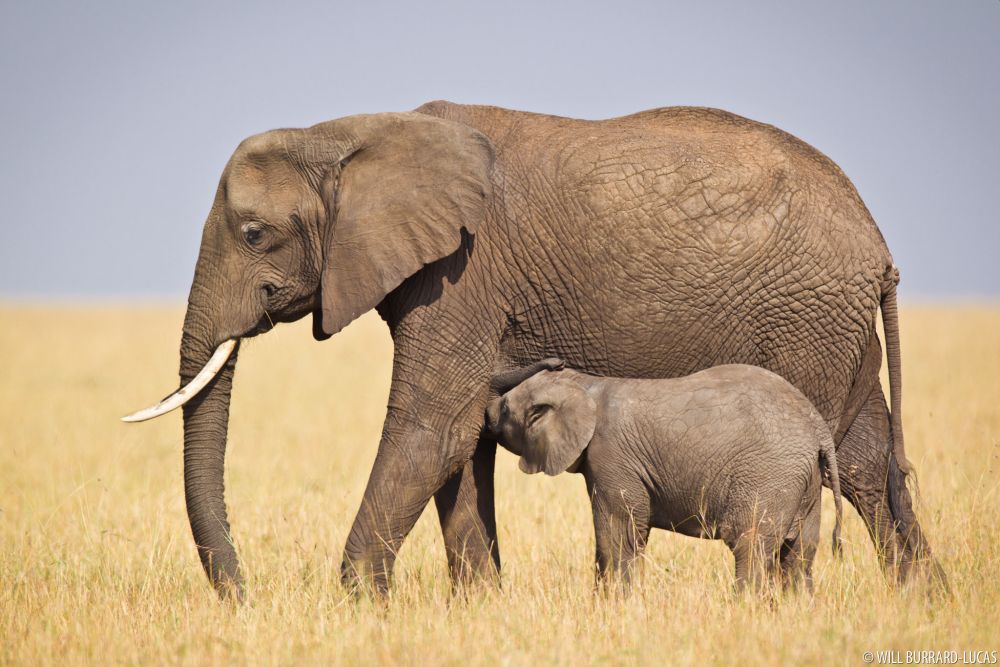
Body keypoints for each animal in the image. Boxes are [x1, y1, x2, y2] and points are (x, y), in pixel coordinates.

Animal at [484, 360, 844, 596]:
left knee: (750, 545)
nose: (487, 414)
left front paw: (615, 606)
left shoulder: (612, 456)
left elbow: (619, 534)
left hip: (768, 477)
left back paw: (743, 607)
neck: (586, 384)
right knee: (799, 555)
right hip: (805, 484)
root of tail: (818, 430)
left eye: (505, 411)